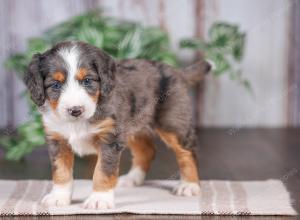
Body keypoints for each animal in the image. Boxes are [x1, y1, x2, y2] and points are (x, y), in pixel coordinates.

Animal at [24, 40, 211, 210]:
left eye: (87, 80)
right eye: (56, 84)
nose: (75, 110)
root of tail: (176, 71)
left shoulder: (110, 139)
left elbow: (102, 171)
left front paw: (99, 199)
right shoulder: (57, 139)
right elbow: (61, 171)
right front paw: (58, 197)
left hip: (172, 123)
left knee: (187, 152)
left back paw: (189, 185)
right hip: (133, 126)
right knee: (147, 151)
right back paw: (132, 179)